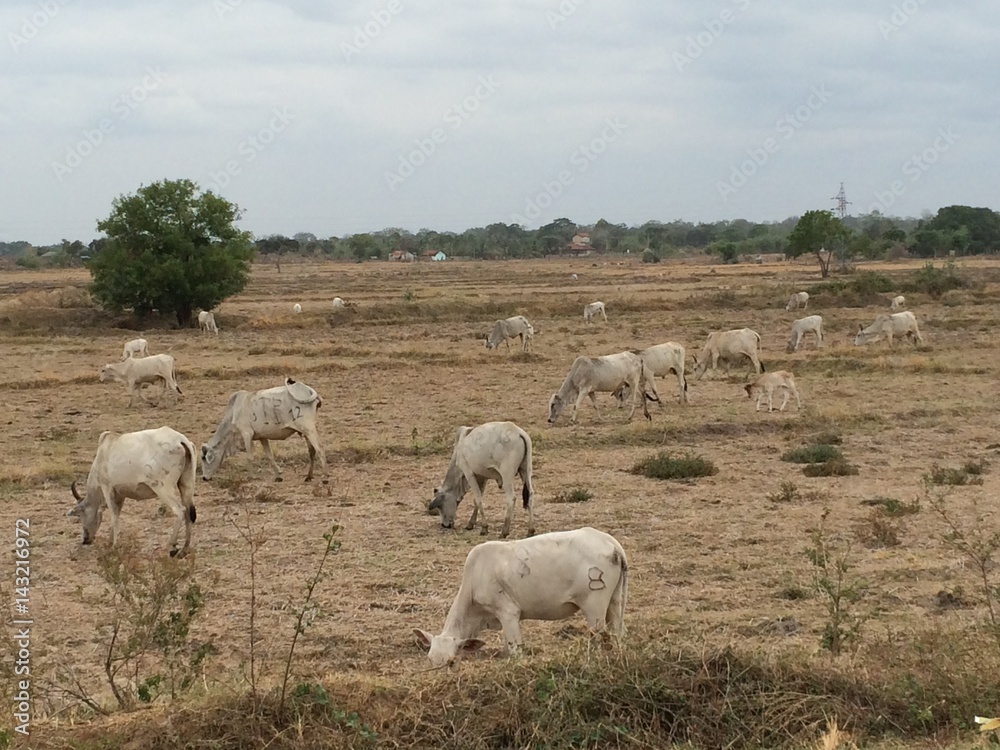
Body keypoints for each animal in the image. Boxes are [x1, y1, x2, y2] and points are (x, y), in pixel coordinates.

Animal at [67, 426, 197, 558]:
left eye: (80, 515)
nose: (85, 540)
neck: (104, 452)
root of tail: (180, 441)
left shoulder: (107, 488)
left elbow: (114, 516)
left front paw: (114, 546)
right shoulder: (120, 495)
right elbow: (117, 514)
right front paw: (110, 542)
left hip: (162, 488)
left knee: (180, 510)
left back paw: (171, 547)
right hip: (186, 485)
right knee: (189, 512)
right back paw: (184, 550)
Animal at [413, 527, 628, 668]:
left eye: (451, 662)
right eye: (429, 659)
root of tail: (612, 544)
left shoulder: (508, 612)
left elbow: (515, 649)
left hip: (594, 605)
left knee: (600, 638)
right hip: (615, 601)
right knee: (617, 635)